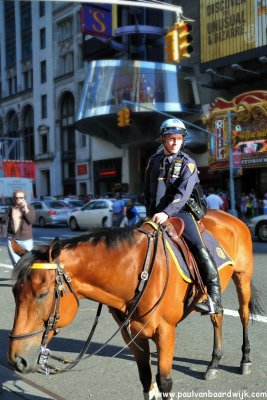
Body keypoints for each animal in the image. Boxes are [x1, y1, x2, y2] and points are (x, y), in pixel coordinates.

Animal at [7, 211, 262, 398]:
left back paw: (245, 359)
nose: (17, 359)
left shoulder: (165, 332)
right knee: (217, 315)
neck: (137, 272)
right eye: (14, 292)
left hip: (243, 278)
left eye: (42, 294)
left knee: (243, 314)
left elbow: (164, 382)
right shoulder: (132, 335)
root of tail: (230, 216)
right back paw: (214, 363)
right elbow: (147, 380)